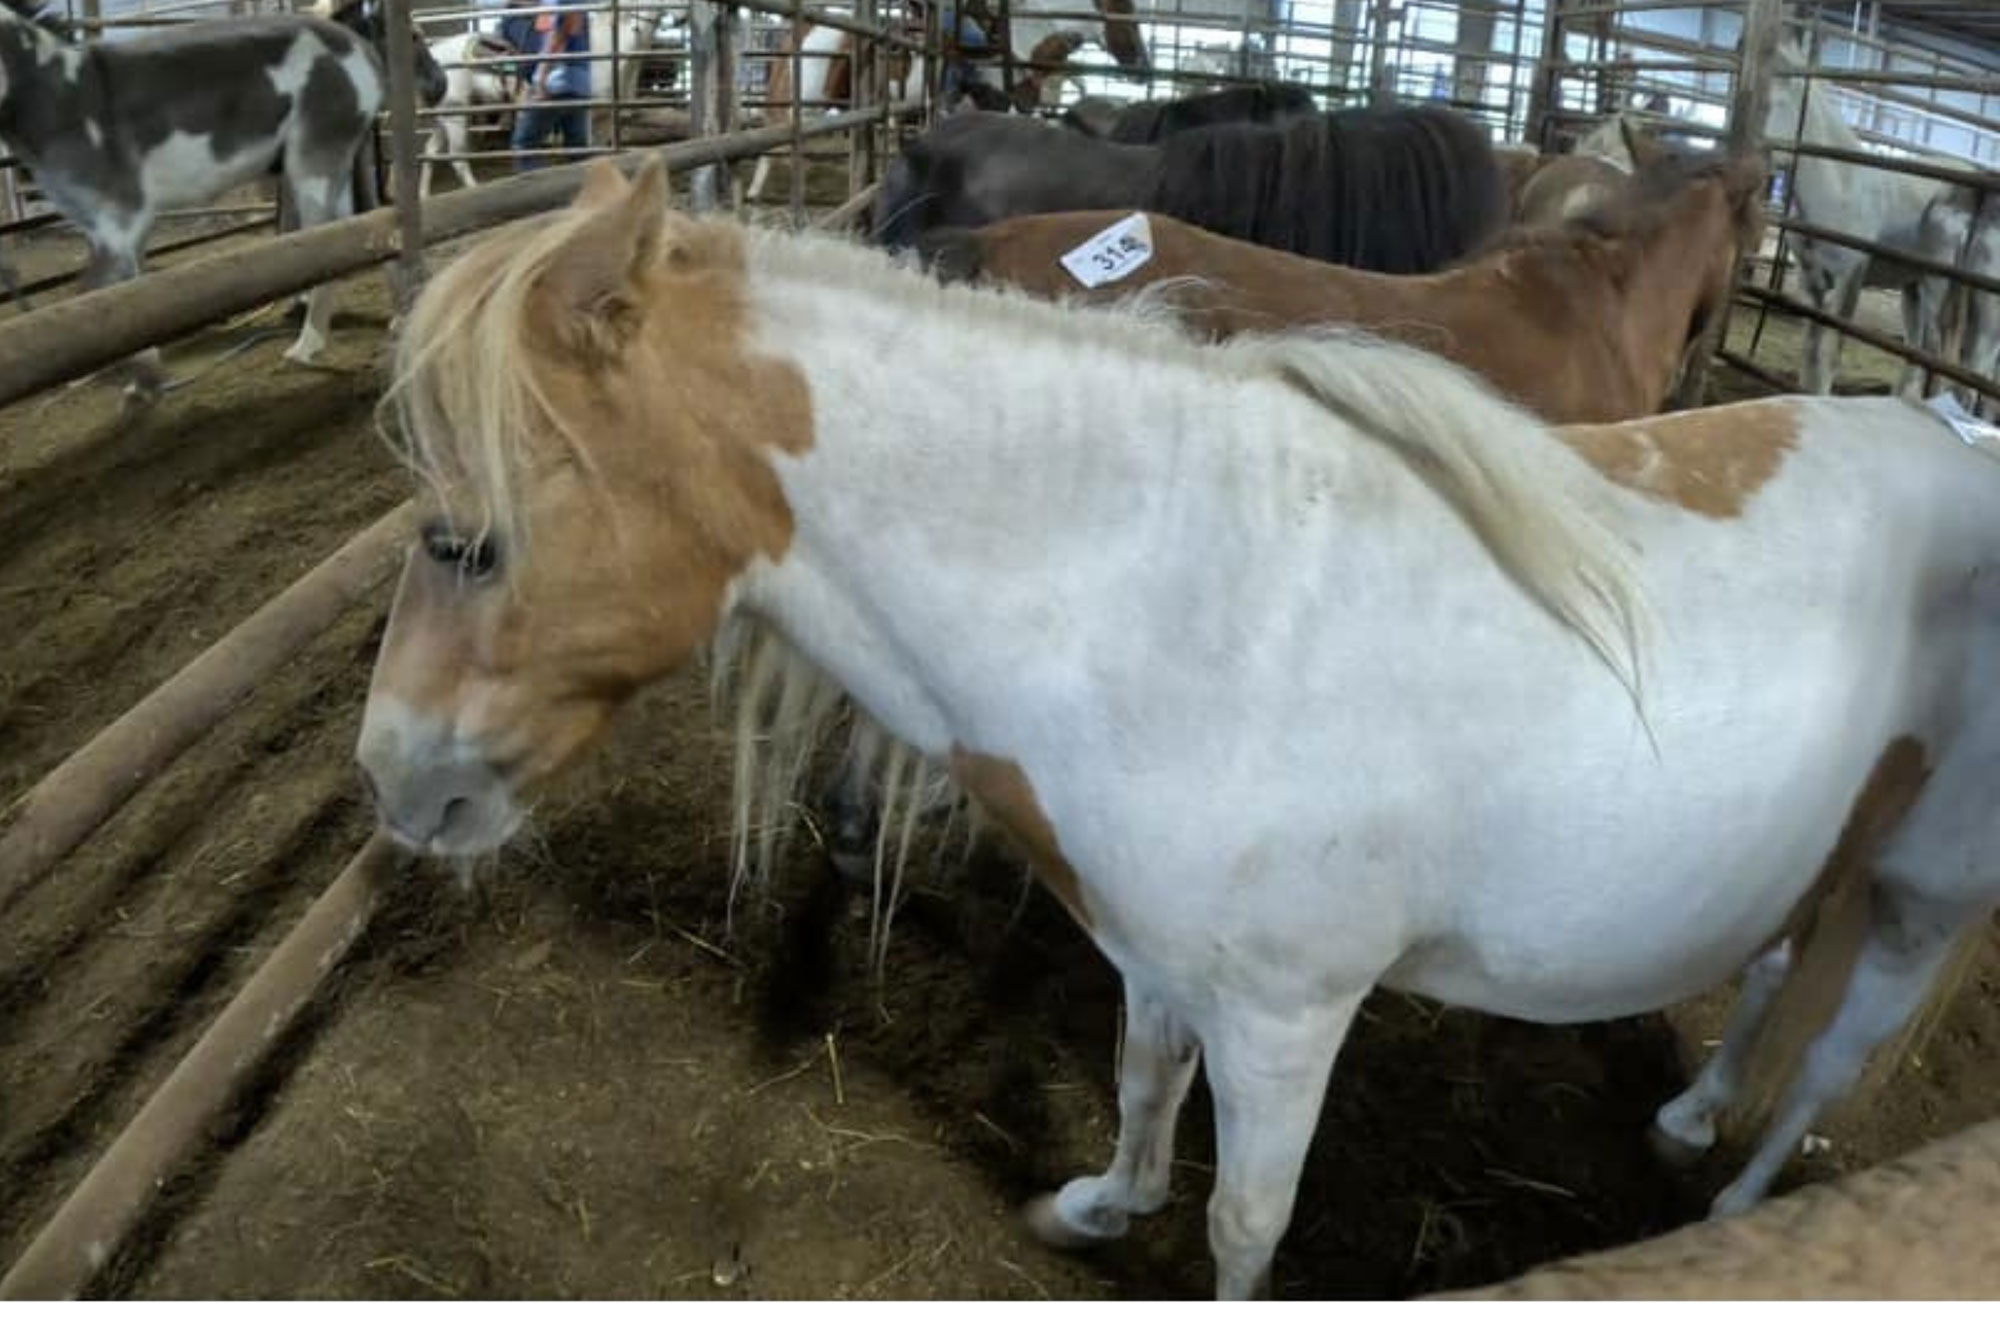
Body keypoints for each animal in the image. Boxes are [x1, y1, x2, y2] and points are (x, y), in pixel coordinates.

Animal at [0, 3, 384, 398]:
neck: (59, 96)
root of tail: (360, 47)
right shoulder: (110, 225)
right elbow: (117, 295)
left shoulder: (120, 218)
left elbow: (110, 291)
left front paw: (144, 386)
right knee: (350, 231)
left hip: (315, 157)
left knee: (325, 239)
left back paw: (304, 348)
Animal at [357, 157, 2000, 1298]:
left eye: (470, 539)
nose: (391, 777)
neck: (1179, 602)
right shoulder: (1153, 951)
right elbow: (1146, 1086)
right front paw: (1099, 1203)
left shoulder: (1288, 1016)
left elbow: (1244, 1217)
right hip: (1824, 850)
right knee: (1780, 964)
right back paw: (1692, 1114)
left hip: (1918, 897)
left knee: (1834, 1056)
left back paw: (1738, 1211)